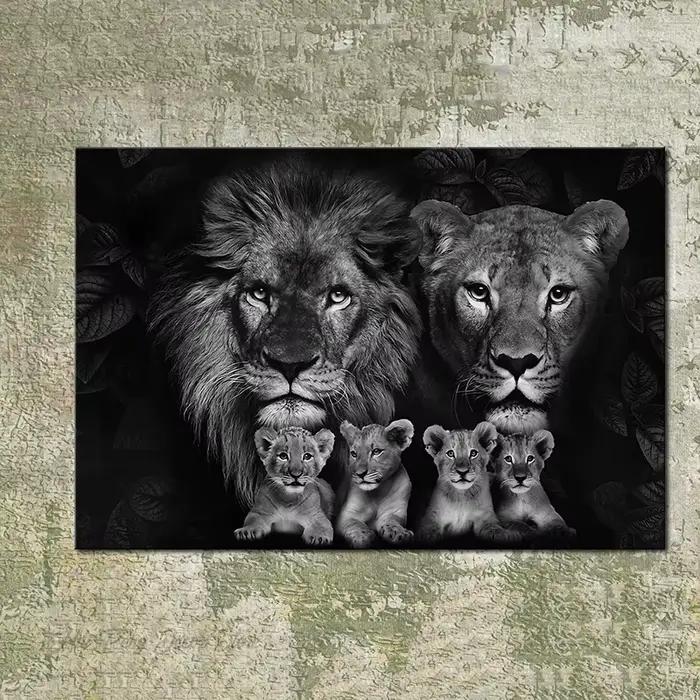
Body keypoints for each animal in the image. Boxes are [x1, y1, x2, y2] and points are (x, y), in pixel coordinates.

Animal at [336, 419, 414, 548]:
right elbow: (354, 524)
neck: (378, 492)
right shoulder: (346, 515)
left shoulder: (395, 511)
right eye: (354, 454)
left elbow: (392, 520)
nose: (360, 474)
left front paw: (399, 533)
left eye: (376, 451)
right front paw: (363, 537)